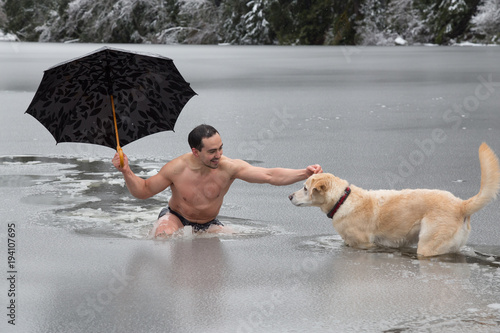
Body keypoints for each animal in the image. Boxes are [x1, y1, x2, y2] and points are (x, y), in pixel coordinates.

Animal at [290, 143, 500, 256]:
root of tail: (461, 205)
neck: (343, 200)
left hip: (429, 244)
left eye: (305, 188)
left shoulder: (364, 244)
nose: (289, 196)